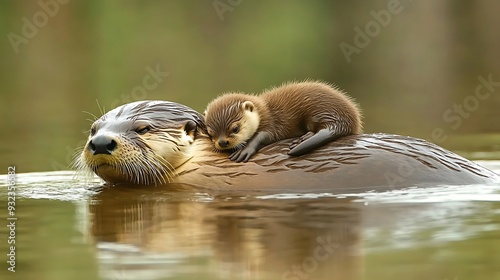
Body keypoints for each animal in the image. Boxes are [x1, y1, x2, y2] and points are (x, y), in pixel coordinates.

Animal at [203, 81, 364, 162]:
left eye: (235, 128)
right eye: (210, 133)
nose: (222, 142)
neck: (264, 111)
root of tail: (346, 118)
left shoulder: (273, 123)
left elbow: (263, 136)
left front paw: (244, 149)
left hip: (318, 110)